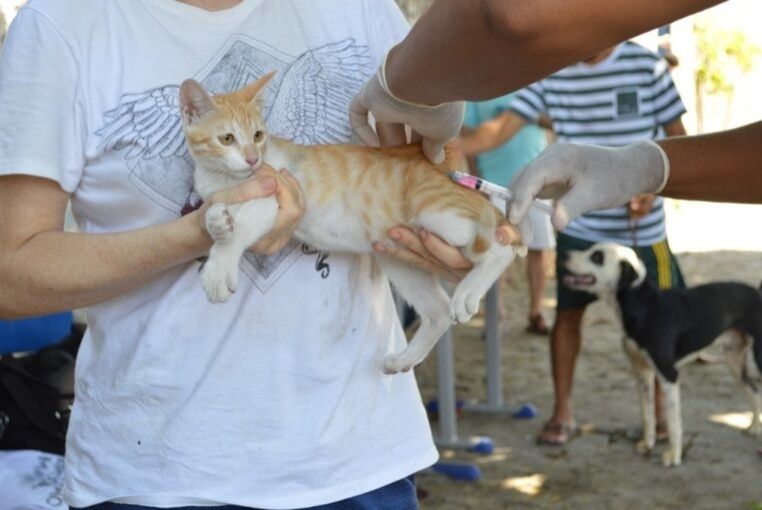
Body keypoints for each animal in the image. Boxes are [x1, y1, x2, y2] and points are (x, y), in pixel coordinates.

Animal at [181, 72, 520, 374]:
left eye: (258, 136)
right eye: (227, 138)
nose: (252, 159)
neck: (224, 179)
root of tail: (440, 161)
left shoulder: (273, 194)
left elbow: (241, 227)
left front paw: (218, 269)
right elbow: (215, 215)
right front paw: (217, 224)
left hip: (437, 212)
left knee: (505, 246)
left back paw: (468, 292)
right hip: (397, 255)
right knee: (438, 311)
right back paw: (404, 359)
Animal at [560, 243, 756, 466]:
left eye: (597, 257)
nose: (564, 255)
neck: (643, 307)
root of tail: (757, 291)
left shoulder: (669, 375)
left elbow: (673, 422)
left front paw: (674, 456)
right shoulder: (642, 372)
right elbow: (648, 414)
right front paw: (648, 444)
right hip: (734, 361)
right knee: (754, 389)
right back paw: (754, 428)